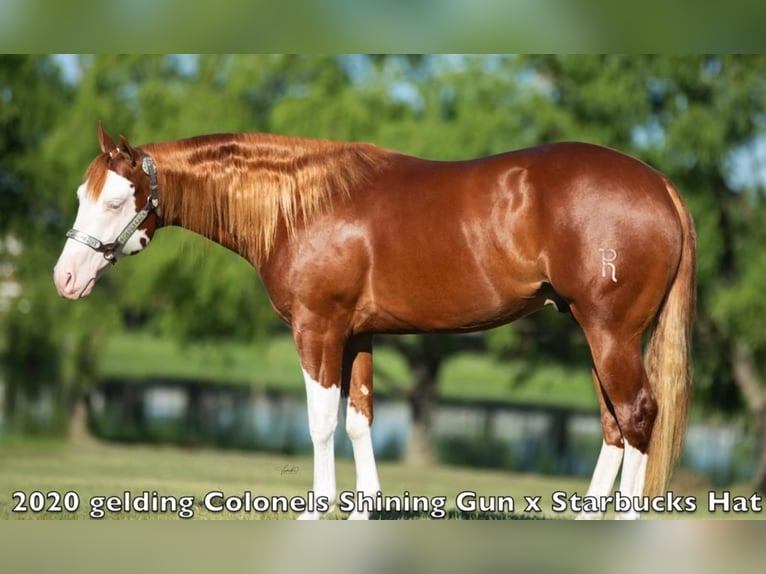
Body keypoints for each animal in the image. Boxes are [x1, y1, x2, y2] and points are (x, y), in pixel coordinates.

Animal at [53, 124, 695, 519]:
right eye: (83, 195)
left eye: (116, 201)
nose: (64, 278)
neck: (302, 206)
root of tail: (659, 183)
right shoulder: (358, 333)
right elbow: (359, 420)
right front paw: (363, 508)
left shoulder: (317, 329)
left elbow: (320, 423)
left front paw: (319, 508)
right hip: (597, 335)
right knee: (614, 425)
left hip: (610, 334)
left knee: (639, 416)